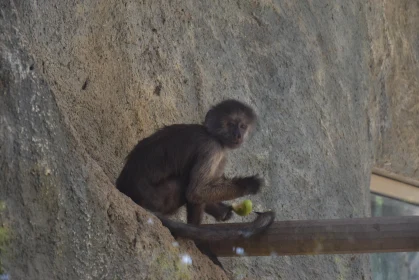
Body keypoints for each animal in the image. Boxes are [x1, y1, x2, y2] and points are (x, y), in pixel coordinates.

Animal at [116, 100, 278, 264]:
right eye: (231, 124)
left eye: (242, 126)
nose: (238, 135)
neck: (212, 134)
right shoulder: (212, 148)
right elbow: (196, 192)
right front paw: (248, 185)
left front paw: (222, 210)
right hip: (159, 198)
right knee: (186, 185)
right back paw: (195, 241)